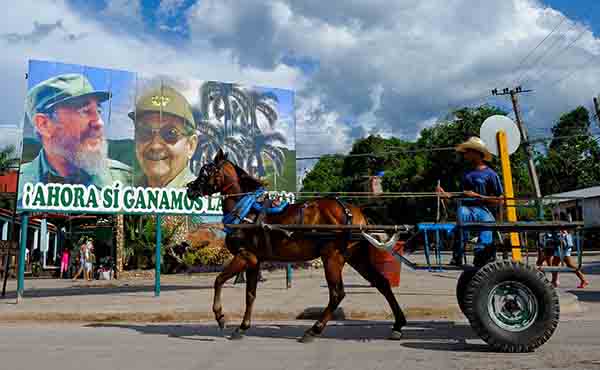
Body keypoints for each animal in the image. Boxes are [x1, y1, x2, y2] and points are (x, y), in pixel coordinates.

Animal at [185, 149, 406, 342]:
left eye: (206, 170)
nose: (190, 189)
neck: (246, 212)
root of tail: (354, 211)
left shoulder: (244, 256)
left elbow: (218, 280)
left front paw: (220, 317)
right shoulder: (255, 261)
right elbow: (250, 295)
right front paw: (242, 327)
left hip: (332, 257)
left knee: (337, 294)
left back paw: (314, 330)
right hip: (355, 256)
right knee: (381, 283)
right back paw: (397, 325)